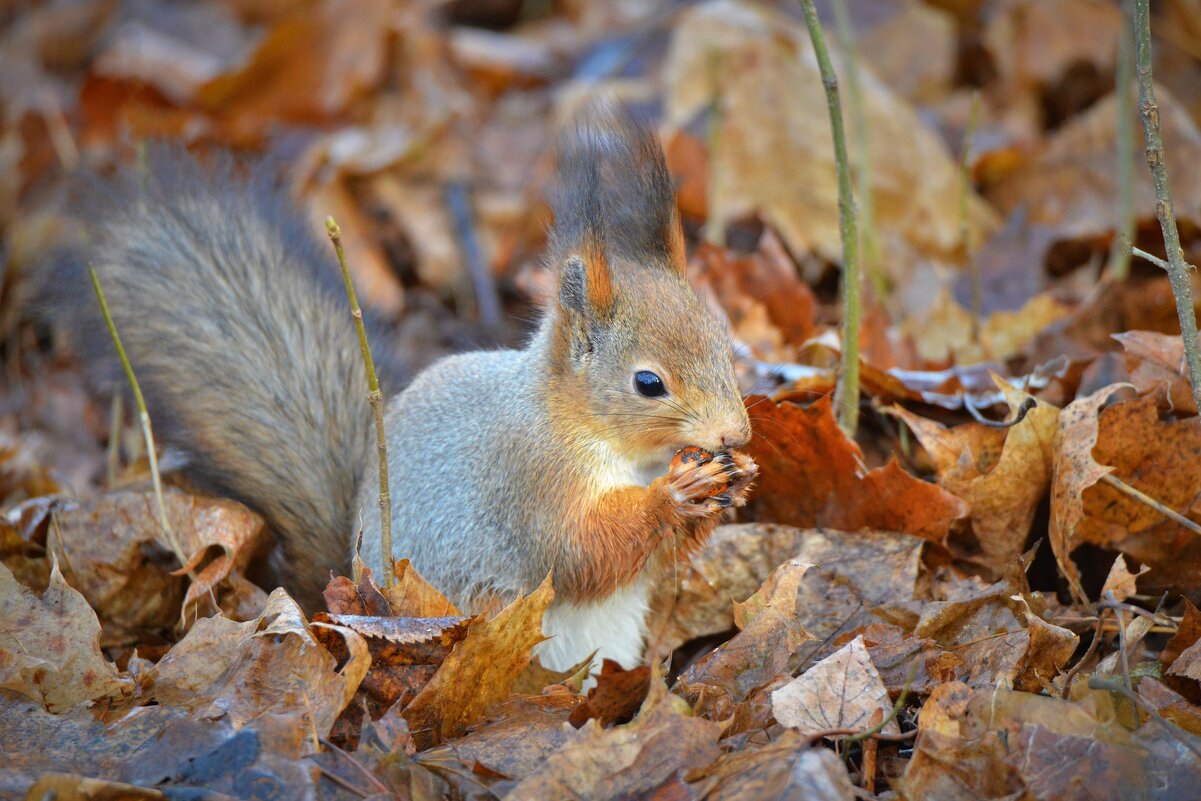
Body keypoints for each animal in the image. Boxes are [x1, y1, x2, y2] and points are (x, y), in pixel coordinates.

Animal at [54, 103, 759, 672]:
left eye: (722, 338)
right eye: (648, 383)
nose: (737, 432)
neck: (589, 430)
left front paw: (733, 483)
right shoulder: (531, 479)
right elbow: (581, 552)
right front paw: (675, 495)